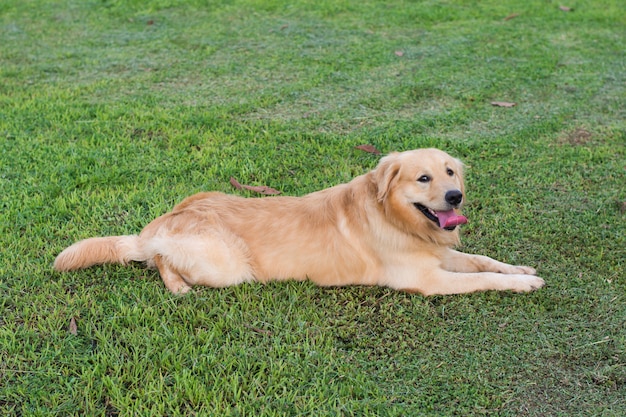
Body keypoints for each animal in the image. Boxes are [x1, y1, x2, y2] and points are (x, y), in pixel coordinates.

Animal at [53, 148, 540, 294]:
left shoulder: (437, 256)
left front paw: (519, 268)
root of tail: (162, 220)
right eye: (424, 178)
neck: (396, 218)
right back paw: (177, 285)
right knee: (158, 260)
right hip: (227, 266)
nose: (456, 196)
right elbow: (481, 279)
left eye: (451, 172)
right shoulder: (425, 279)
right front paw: (523, 284)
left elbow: (482, 261)